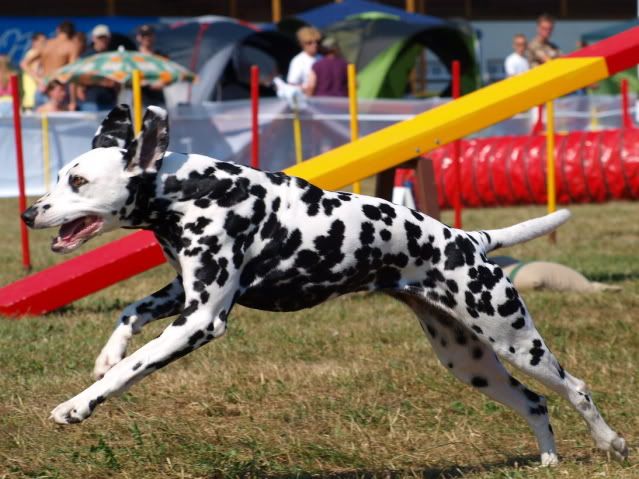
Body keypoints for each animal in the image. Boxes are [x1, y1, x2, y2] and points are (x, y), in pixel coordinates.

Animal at [21, 105, 627, 466]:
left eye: (78, 181)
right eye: (60, 177)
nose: (29, 213)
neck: (193, 189)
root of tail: (466, 239)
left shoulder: (201, 320)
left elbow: (130, 370)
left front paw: (78, 405)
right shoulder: (183, 293)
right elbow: (128, 312)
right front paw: (105, 354)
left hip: (517, 342)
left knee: (575, 389)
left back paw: (611, 442)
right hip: (471, 363)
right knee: (534, 403)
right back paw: (548, 461)